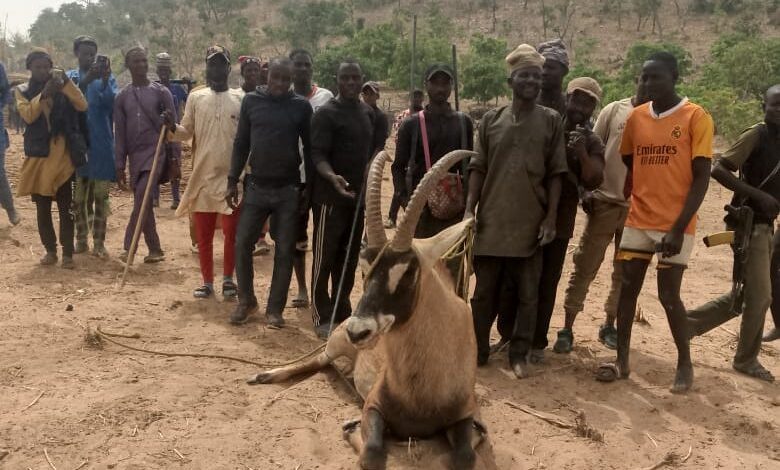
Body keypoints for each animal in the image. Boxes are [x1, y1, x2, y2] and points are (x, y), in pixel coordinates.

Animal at [247, 151, 484, 470]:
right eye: (365, 268)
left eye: (408, 272)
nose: (358, 331)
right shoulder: (373, 405)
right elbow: (370, 454)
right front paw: (350, 427)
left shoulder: (466, 415)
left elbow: (466, 456)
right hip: (335, 344)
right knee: (318, 359)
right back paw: (266, 375)